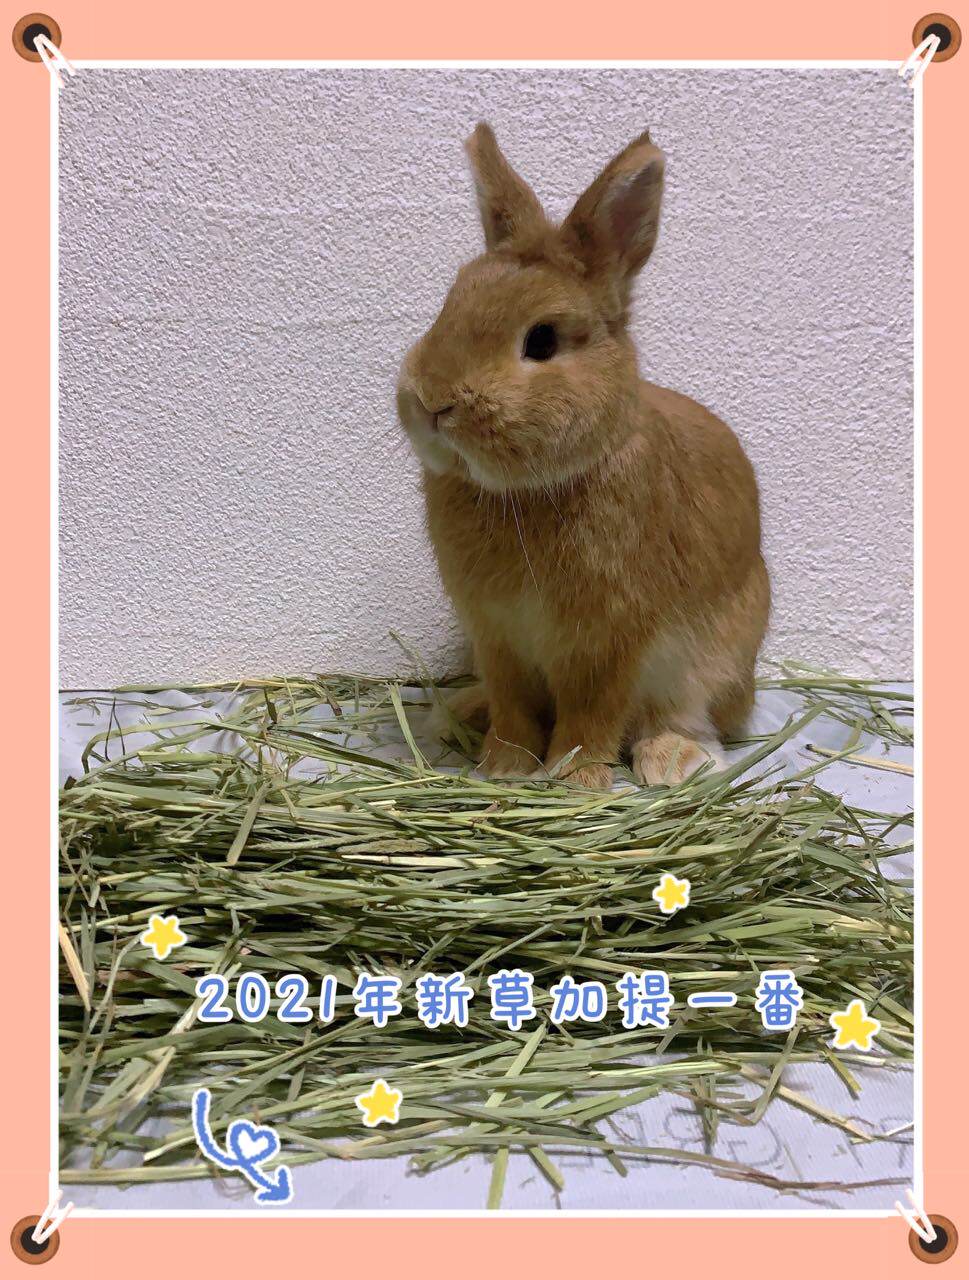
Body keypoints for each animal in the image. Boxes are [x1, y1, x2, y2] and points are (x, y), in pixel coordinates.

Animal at [396, 123, 770, 790]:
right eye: (449, 305)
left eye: (542, 340)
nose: (432, 402)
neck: (523, 492)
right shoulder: (498, 639)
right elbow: (515, 708)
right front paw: (503, 767)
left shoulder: (610, 644)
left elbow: (592, 715)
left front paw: (572, 780)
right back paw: (461, 714)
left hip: (717, 659)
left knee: (690, 715)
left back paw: (675, 759)